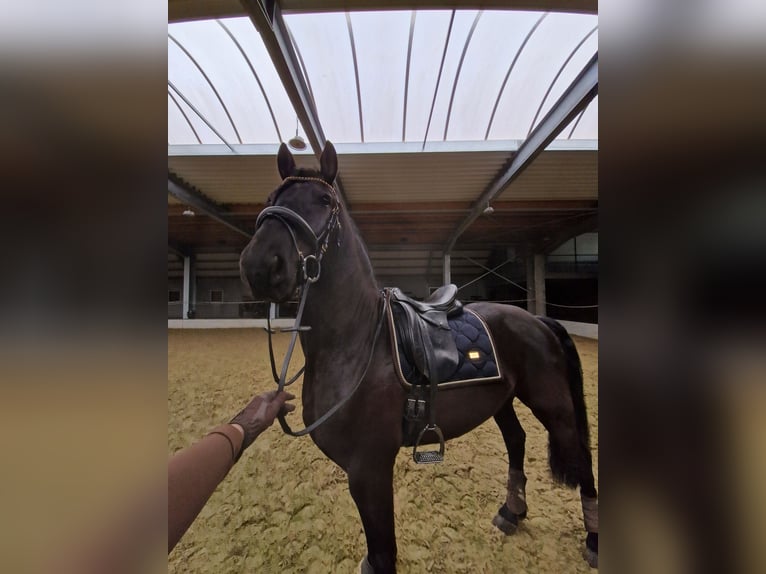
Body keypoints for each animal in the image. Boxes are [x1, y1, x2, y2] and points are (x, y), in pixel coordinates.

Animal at [240, 142, 600, 572]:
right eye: (271, 200)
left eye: (325, 201)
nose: (260, 265)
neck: (356, 343)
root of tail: (535, 319)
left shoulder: (370, 470)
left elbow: (383, 554)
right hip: (502, 400)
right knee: (516, 440)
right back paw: (512, 512)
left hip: (552, 403)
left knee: (581, 453)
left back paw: (594, 540)